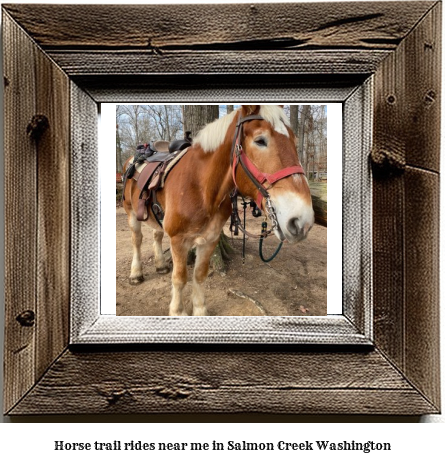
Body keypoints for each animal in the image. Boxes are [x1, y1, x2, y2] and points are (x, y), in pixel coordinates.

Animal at [121, 105, 314, 316]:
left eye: (294, 140)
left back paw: (161, 265)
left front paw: (199, 310)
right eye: (260, 141)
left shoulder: (210, 239)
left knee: (156, 235)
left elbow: (199, 275)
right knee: (137, 240)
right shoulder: (178, 240)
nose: (302, 221)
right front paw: (178, 312)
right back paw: (136, 274)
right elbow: (180, 278)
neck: (201, 187)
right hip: (131, 213)